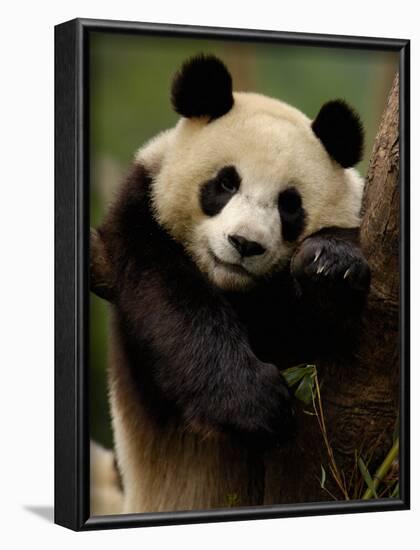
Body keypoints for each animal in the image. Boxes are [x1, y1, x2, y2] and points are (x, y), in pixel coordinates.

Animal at [93, 54, 370, 516]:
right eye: (226, 182)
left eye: (289, 205)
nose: (245, 243)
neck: (235, 289)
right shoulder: (141, 222)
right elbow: (173, 307)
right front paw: (256, 403)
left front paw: (331, 267)